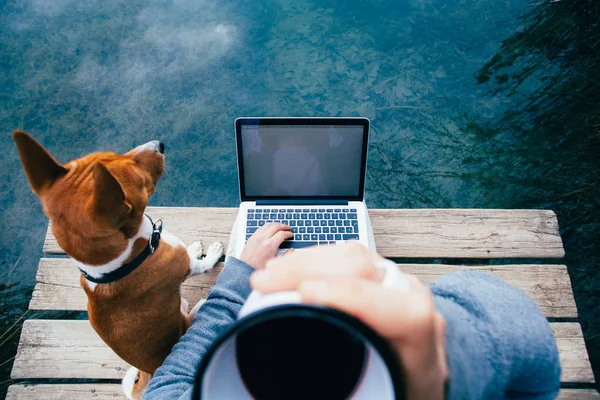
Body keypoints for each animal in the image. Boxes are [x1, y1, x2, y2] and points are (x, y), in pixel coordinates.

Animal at [14, 130, 225, 396]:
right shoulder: (185, 266)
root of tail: (149, 371)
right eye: (136, 172)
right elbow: (201, 263)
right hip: (192, 316)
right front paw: (210, 252)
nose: (159, 144)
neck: (118, 266)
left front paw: (195, 248)